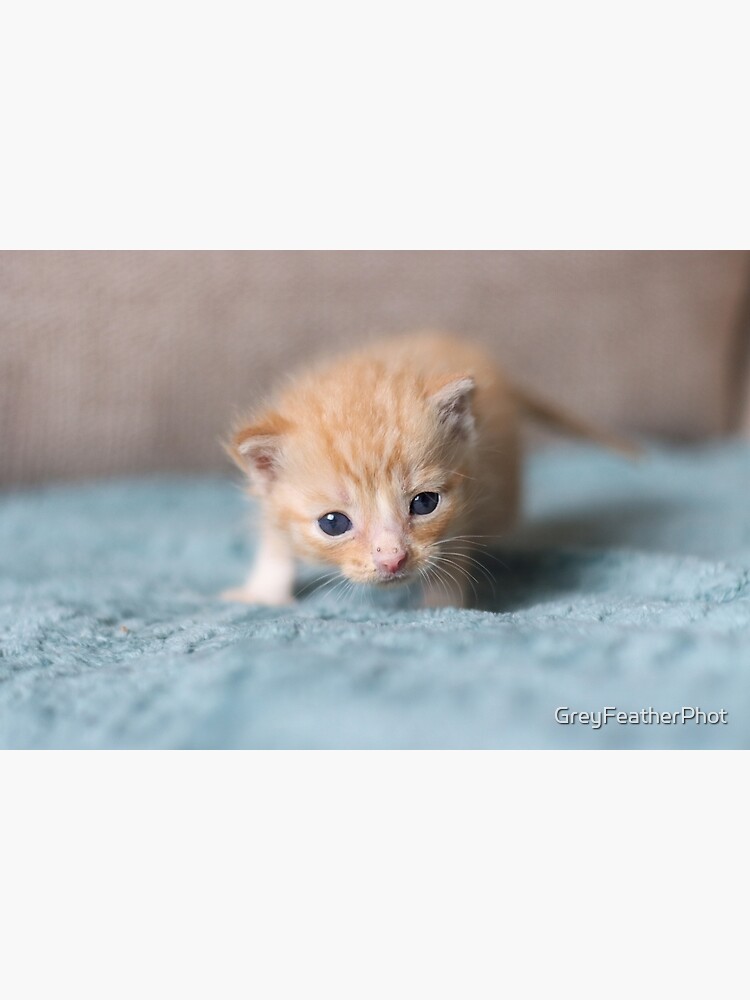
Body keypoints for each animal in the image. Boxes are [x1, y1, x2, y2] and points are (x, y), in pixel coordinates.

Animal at [223, 334, 636, 608]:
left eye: (424, 503)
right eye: (333, 523)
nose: (392, 560)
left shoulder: (469, 501)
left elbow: (451, 556)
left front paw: (441, 607)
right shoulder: (270, 503)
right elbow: (276, 543)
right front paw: (261, 594)